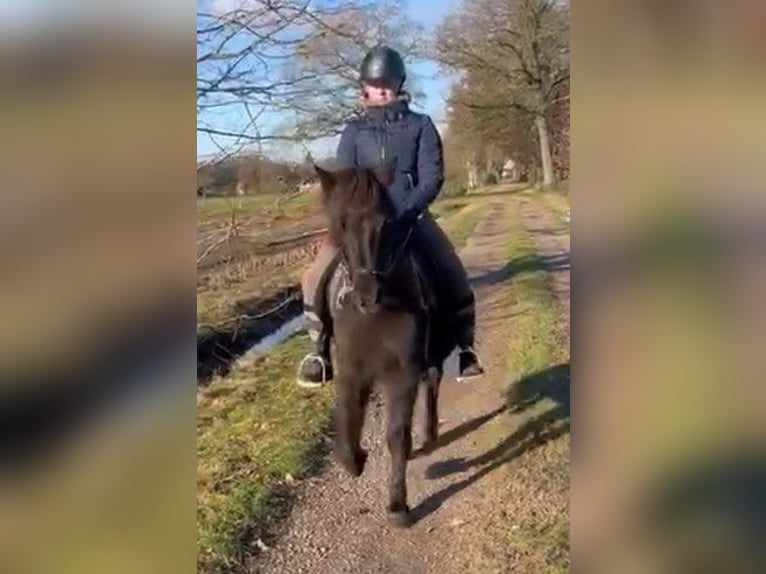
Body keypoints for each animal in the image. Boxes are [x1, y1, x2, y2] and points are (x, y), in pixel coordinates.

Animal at [312, 164, 456, 528]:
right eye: (341, 223)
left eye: (387, 223)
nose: (368, 295)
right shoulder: (352, 370)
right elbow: (348, 421)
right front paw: (355, 460)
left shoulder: (402, 374)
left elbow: (396, 436)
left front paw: (398, 504)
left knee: (433, 384)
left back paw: (429, 434)